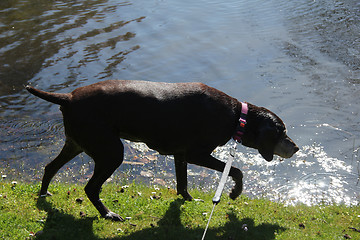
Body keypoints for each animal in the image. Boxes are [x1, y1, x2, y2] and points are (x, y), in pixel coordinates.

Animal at [26, 80, 300, 221]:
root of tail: (68, 97)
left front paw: (188, 200)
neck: (236, 117)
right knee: (90, 188)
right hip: (111, 152)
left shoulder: (181, 154)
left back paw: (43, 194)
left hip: (77, 143)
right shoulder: (196, 154)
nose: (296, 148)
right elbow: (237, 171)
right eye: (282, 132)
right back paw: (108, 214)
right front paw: (234, 193)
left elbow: (182, 184)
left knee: (49, 167)